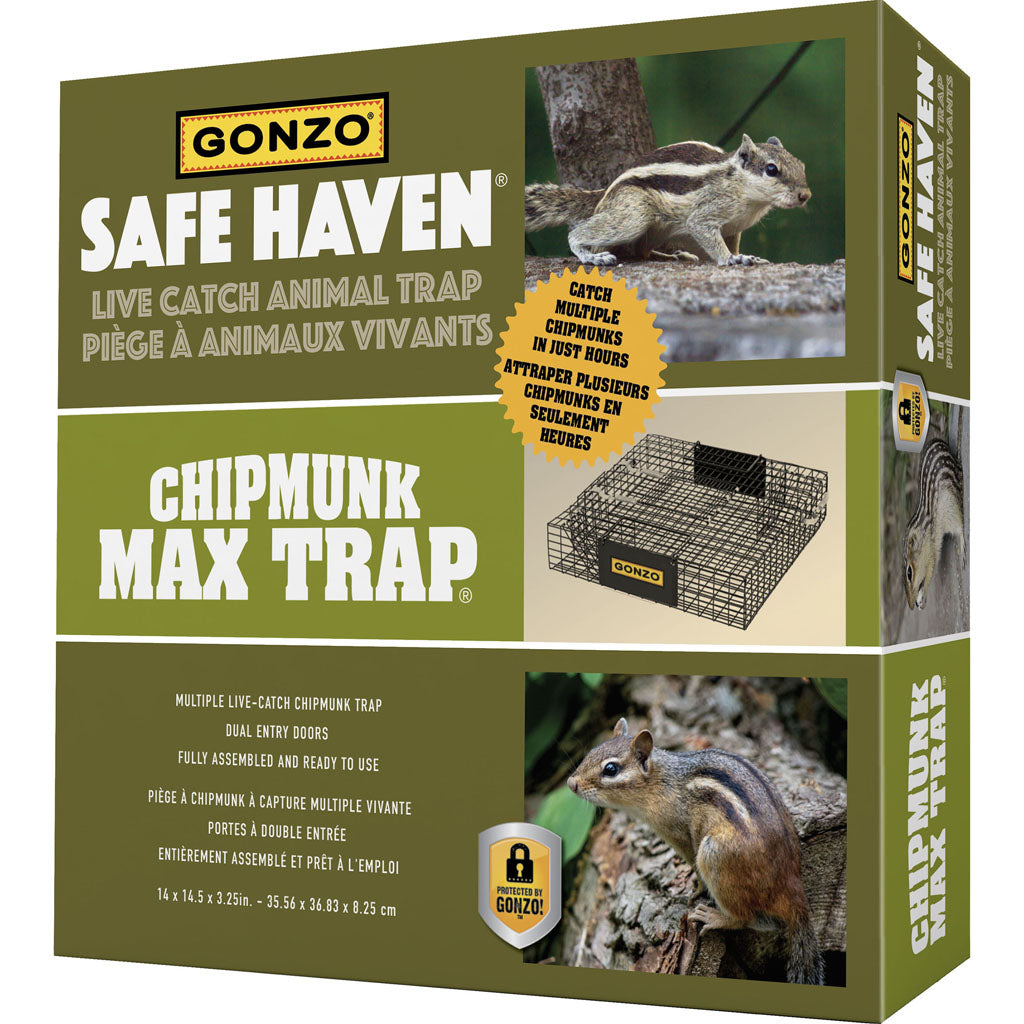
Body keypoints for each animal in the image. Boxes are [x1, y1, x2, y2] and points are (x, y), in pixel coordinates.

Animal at [524, 135, 811, 267]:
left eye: (801, 165)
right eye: (771, 170)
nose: (805, 195)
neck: (750, 198)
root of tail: (605, 193)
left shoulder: (734, 228)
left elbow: (732, 243)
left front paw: (748, 257)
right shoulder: (706, 213)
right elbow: (708, 235)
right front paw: (731, 259)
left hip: (655, 228)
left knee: (641, 251)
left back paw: (670, 255)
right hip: (633, 214)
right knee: (583, 235)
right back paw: (591, 256)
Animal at [567, 718, 824, 985]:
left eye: (610, 769)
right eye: (591, 752)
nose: (571, 783)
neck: (660, 782)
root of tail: (791, 885)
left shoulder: (679, 835)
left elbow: (693, 864)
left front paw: (696, 888)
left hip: (714, 855)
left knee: (745, 917)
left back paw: (714, 916)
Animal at [904, 438, 965, 610]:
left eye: (909, 573)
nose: (911, 605)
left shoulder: (931, 549)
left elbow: (931, 569)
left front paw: (923, 594)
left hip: (950, 506)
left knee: (959, 526)